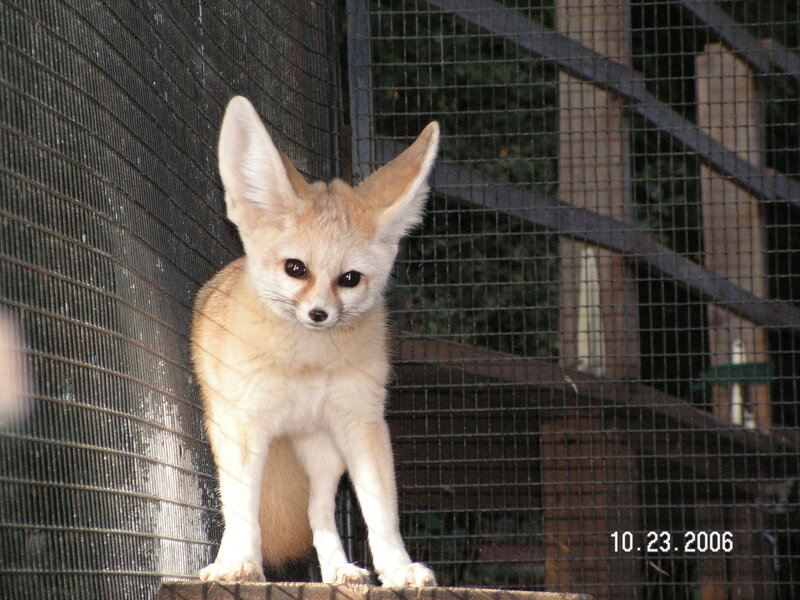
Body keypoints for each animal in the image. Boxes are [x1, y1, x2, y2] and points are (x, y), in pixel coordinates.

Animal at [191, 96, 439, 587]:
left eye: (350, 279)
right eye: (296, 269)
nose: (319, 314)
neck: (306, 364)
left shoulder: (362, 422)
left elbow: (381, 513)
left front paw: (397, 568)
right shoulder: (248, 426)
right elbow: (244, 513)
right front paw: (241, 564)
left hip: (325, 456)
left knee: (317, 512)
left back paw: (339, 569)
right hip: (228, 437)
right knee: (236, 507)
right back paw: (227, 560)